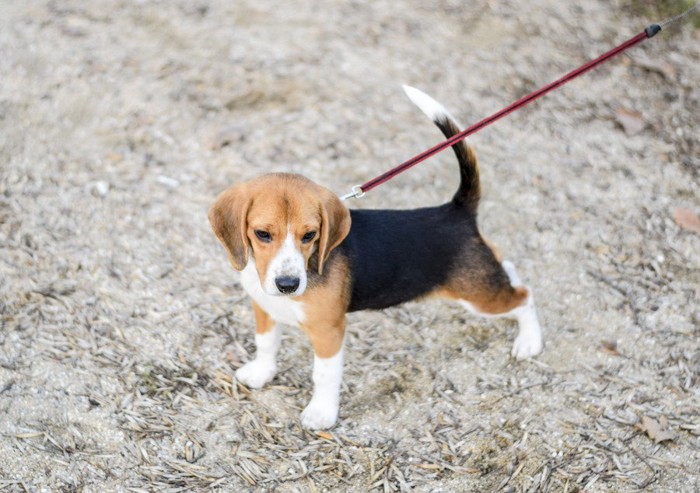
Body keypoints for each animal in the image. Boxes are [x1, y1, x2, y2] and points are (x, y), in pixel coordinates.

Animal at [211, 86, 544, 428]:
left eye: (310, 235)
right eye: (262, 234)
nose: (288, 285)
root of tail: (456, 210)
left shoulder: (329, 331)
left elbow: (324, 375)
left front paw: (321, 412)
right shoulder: (265, 309)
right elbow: (266, 344)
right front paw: (261, 372)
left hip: (478, 297)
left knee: (524, 296)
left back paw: (530, 340)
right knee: (509, 269)